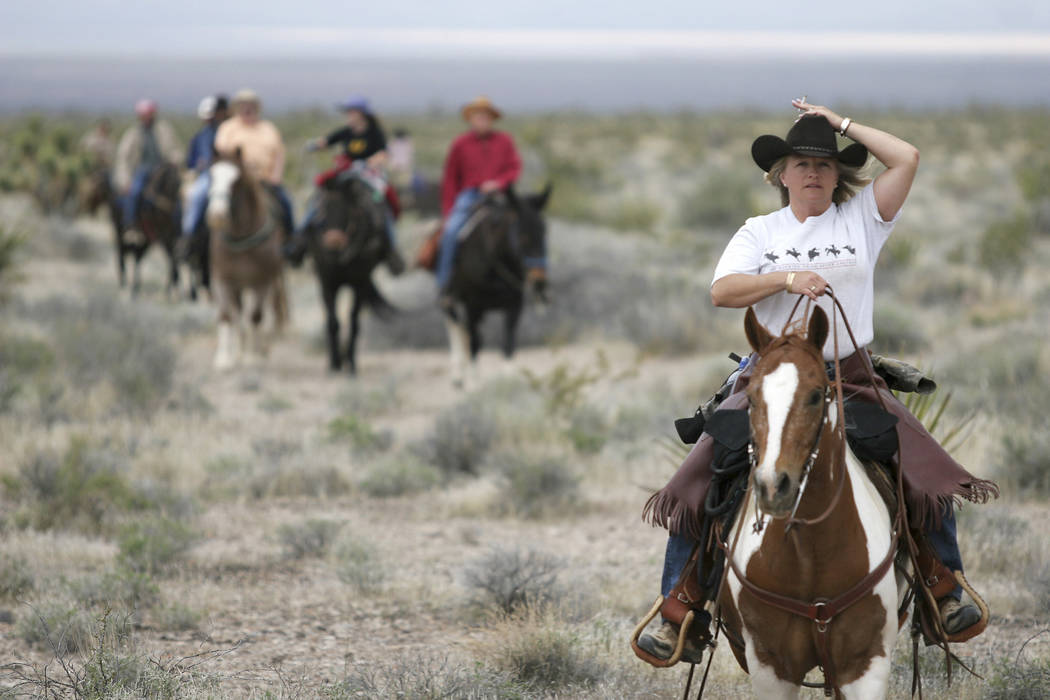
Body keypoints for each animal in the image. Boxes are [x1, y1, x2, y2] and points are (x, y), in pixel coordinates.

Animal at [206, 155, 289, 369]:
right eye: (211, 176)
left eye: (236, 181)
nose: (217, 215)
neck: (241, 238)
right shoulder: (222, 280)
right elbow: (227, 316)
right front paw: (224, 359)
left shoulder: (261, 281)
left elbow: (256, 316)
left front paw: (253, 357)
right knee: (238, 316)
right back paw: (239, 349)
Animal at [310, 173, 396, 375]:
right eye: (323, 209)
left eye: (347, 211)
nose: (333, 242)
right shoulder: (327, 282)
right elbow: (333, 322)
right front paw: (335, 362)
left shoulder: (360, 283)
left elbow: (354, 321)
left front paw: (350, 363)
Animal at [440, 185, 550, 386]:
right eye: (522, 235)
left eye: (545, 232)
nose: (539, 281)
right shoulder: (473, 306)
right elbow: (475, 342)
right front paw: (474, 382)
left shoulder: (514, 305)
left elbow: (508, 343)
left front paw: (508, 380)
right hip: (452, 300)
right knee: (455, 326)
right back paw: (458, 373)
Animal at [718, 308, 907, 700]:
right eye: (752, 398)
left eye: (816, 395)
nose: (773, 485)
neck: (811, 553)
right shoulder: (771, 667)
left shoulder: (866, 664)